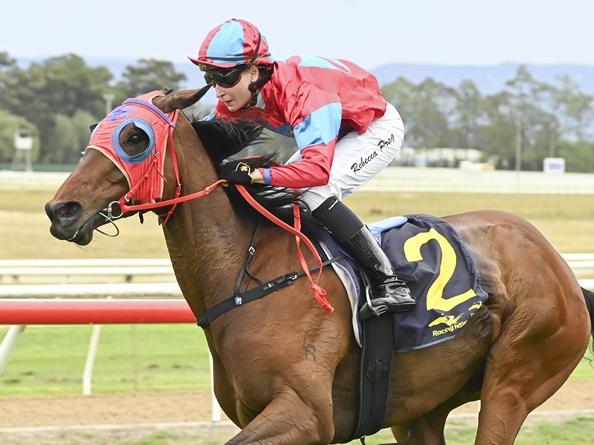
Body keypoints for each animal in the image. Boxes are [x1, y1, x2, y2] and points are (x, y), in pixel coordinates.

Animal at [46, 88, 592, 442]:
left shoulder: (307, 413)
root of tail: (559, 266)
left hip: (515, 379)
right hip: (421, 409)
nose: (61, 210)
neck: (249, 274)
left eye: (134, 138)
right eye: (96, 130)